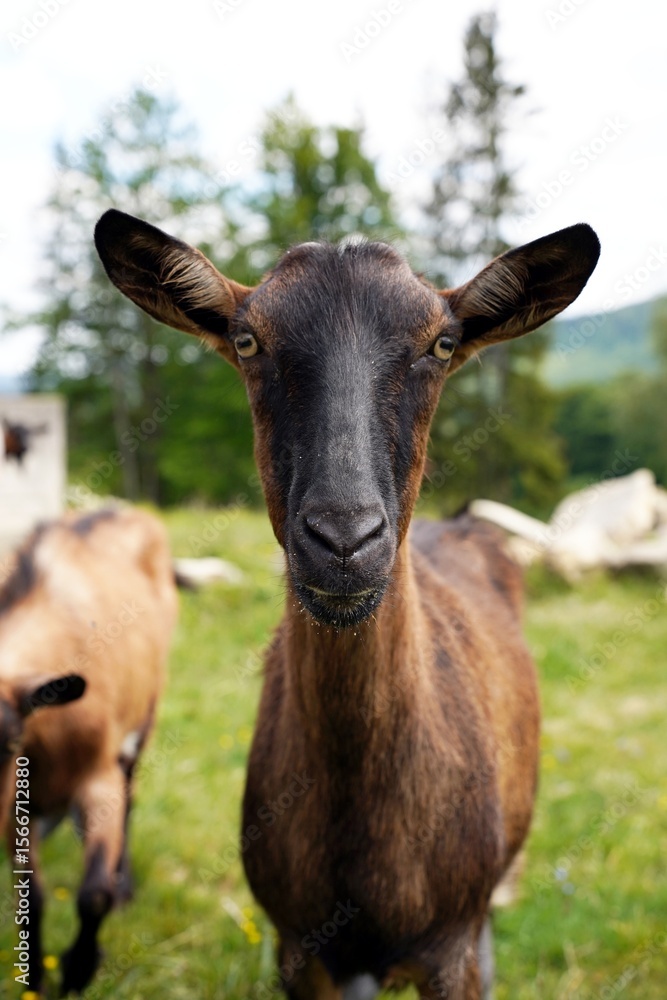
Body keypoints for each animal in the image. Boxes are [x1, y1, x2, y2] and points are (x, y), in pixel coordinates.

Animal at [0, 506, 177, 995]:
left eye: (8, 742)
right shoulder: (15, 804)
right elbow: (33, 894)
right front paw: (35, 978)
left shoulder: (98, 779)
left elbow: (94, 894)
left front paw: (77, 972)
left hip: (145, 715)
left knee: (130, 799)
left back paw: (125, 883)